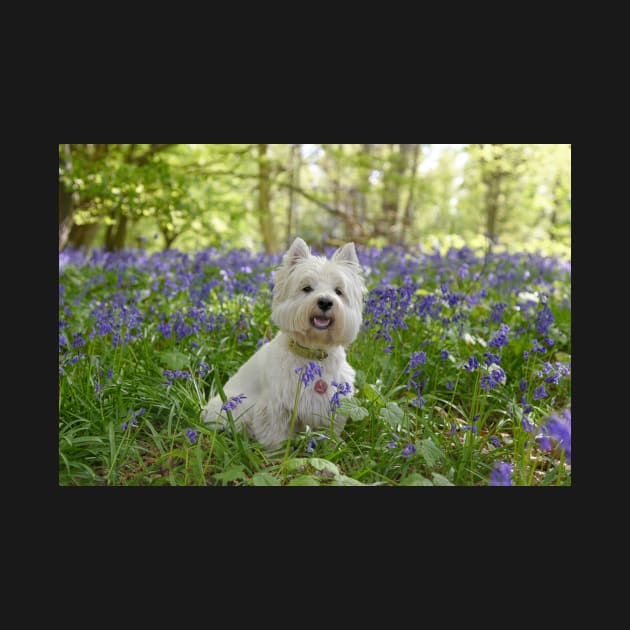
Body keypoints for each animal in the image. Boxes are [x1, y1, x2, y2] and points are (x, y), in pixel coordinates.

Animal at [202, 237, 366, 450]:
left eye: (338, 291)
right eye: (307, 288)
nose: (325, 302)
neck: (313, 352)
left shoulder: (335, 403)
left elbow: (331, 432)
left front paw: (332, 448)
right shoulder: (275, 405)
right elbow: (275, 436)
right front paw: (277, 455)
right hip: (234, 407)